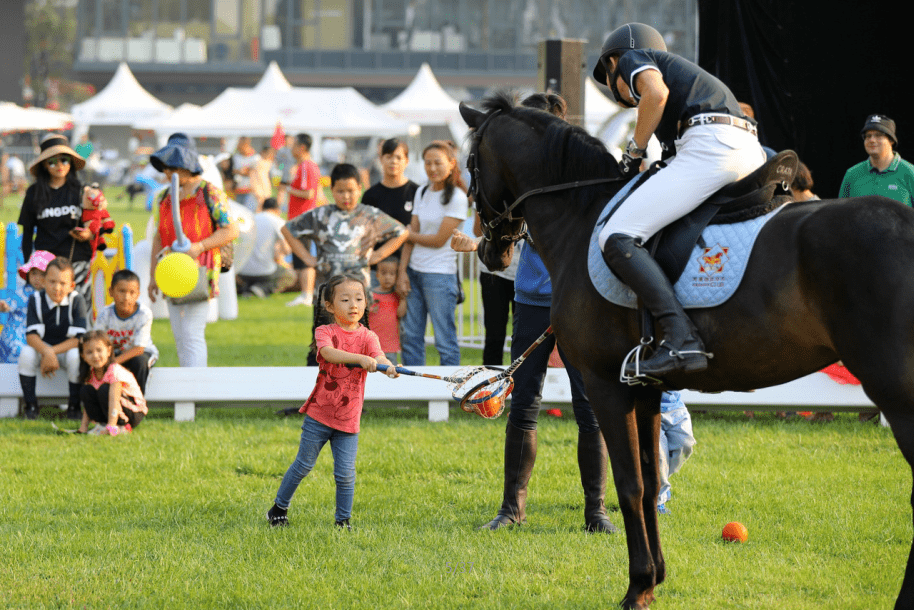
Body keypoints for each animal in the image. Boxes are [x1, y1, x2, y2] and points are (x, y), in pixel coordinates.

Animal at [460, 92, 912, 604]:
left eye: (471, 165)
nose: (490, 254)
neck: (581, 215)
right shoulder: (644, 388)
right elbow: (652, 478)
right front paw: (655, 578)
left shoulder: (605, 385)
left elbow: (629, 483)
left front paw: (637, 588)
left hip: (895, 392)